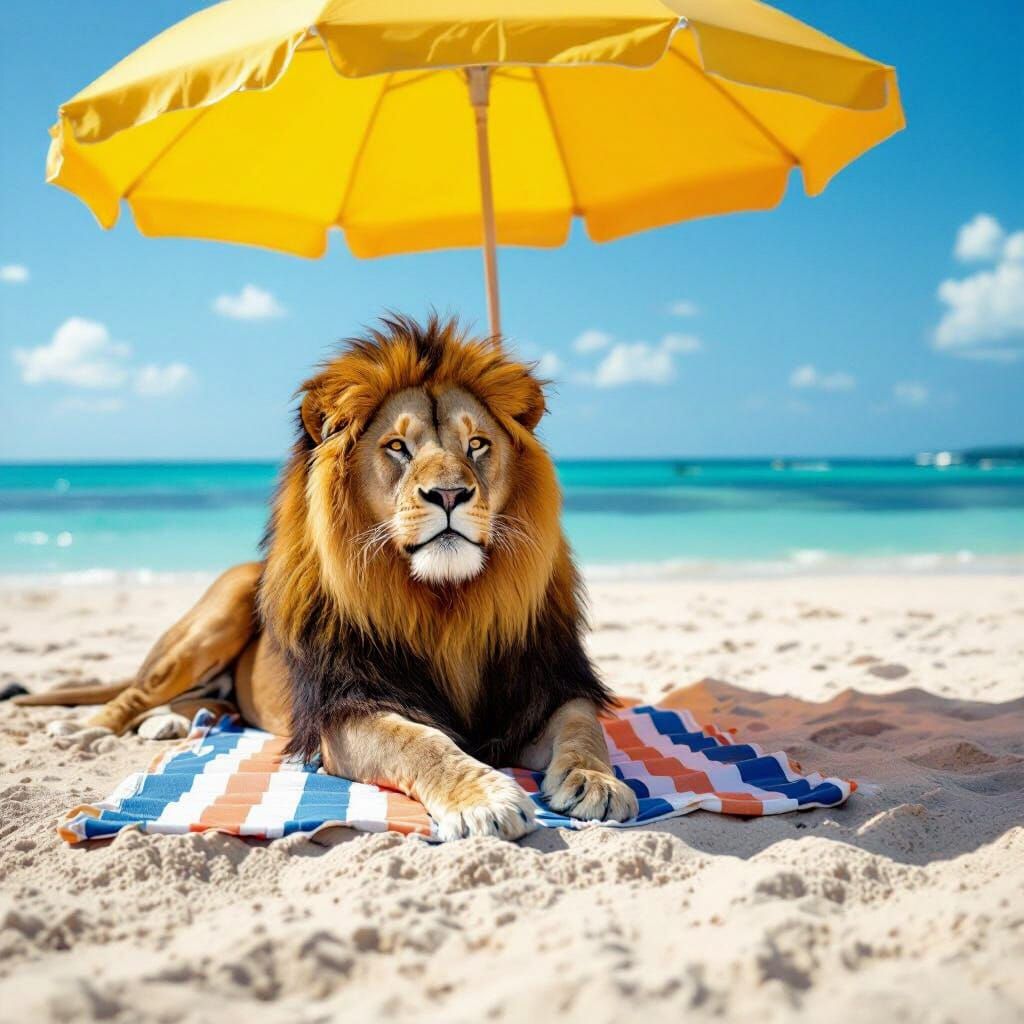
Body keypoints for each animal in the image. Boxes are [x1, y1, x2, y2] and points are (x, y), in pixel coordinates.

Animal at [15, 315, 639, 840]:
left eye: (477, 444)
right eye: (397, 447)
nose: (449, 495)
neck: (447, 603)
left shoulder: (547, 687)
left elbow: (584, 727)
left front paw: (598, 782)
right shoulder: (347, 709)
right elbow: (423, 743)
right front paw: (484, 798)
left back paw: (167, 724)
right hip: (219, 611)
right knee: (136, 691)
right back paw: (89, 729)